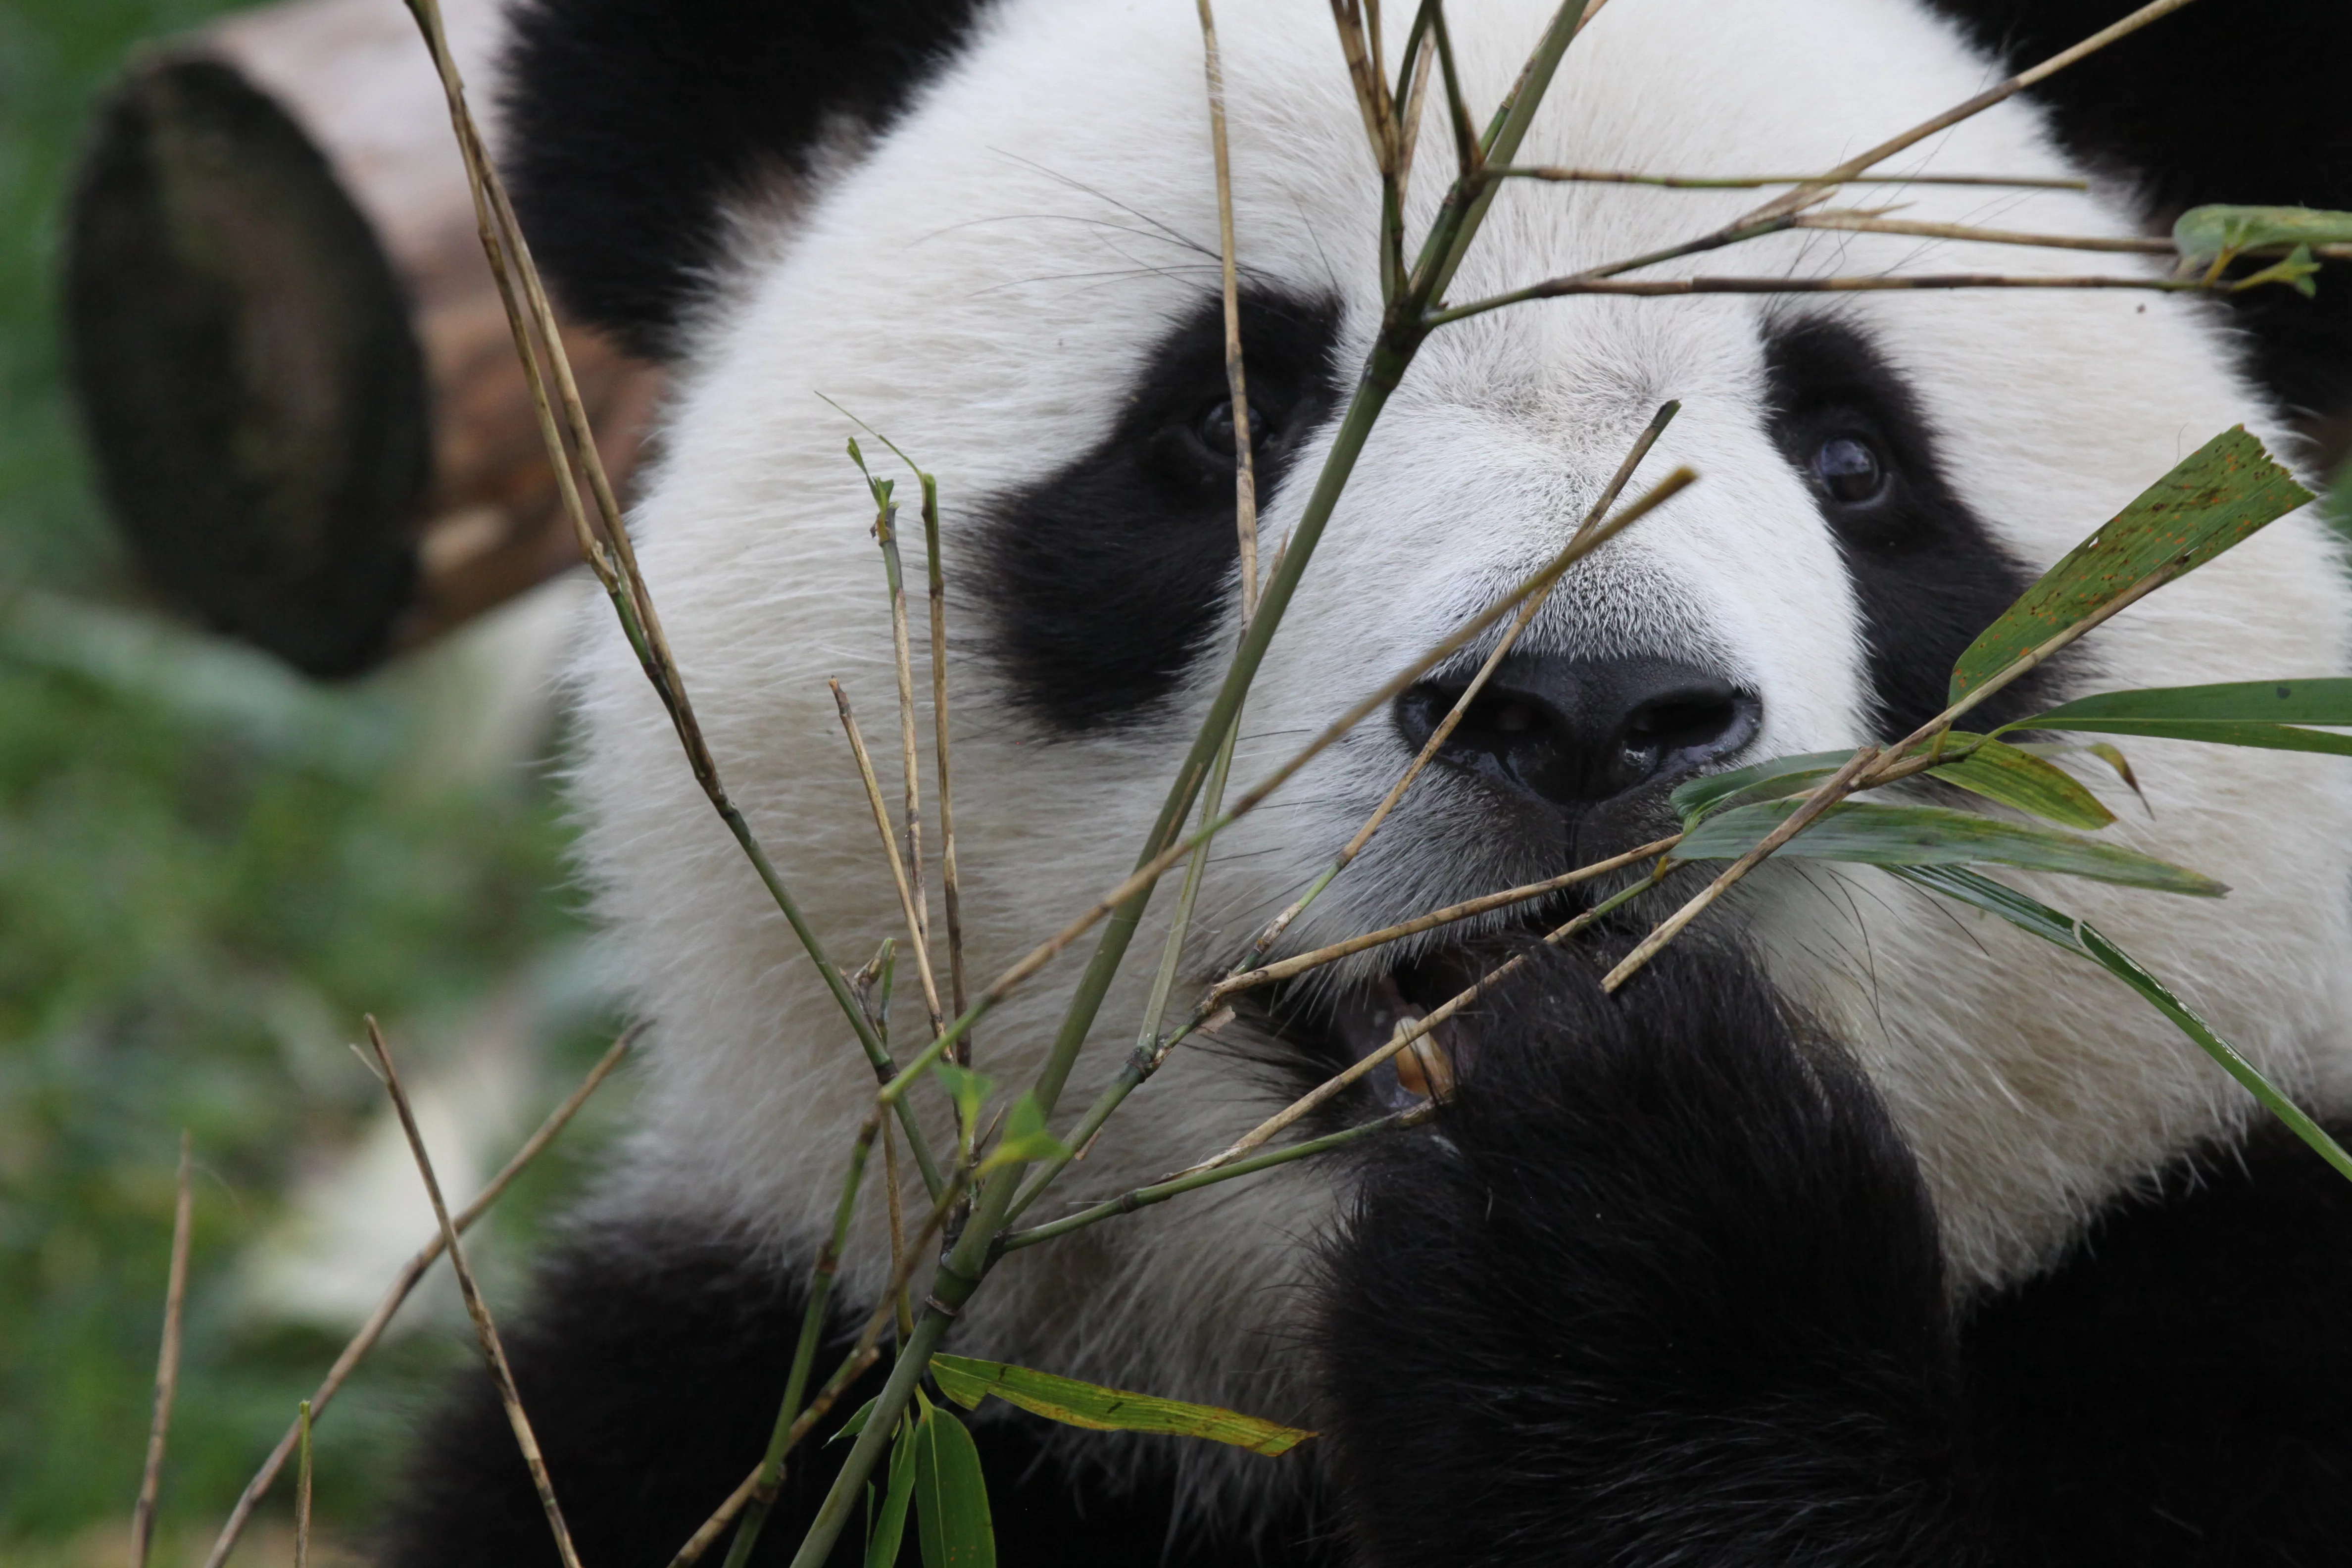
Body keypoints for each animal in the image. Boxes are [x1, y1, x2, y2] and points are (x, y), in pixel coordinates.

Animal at [385, 0, 2352, 1563]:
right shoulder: (754, 1396)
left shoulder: (2231, 1287)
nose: (1584, 710)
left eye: (1855, 460)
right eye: (1223, 422)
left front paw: (1631, 1243)